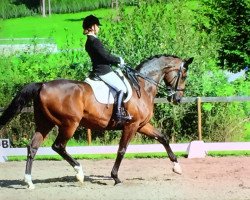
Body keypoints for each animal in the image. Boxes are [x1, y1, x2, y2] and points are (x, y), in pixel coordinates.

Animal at [0, 54, 193, 188]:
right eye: (184, 75)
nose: (177, 99)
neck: (142, 86)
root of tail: (43, 85)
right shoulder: (131, 126)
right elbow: (122, 150)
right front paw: (116, 177)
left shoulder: (142, 125)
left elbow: (163, 138)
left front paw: (177, 167)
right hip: (69, 124)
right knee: (58, 146)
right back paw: (79, 173)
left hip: (45, 123)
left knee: (33, 147)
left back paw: (29, 182)